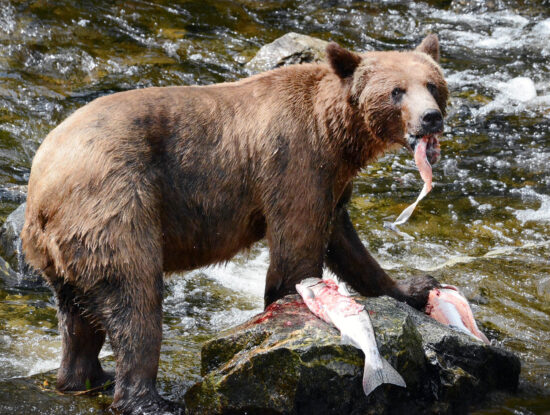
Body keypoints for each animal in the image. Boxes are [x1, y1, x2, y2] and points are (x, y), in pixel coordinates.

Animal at [22, 35, 448, 412]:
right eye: (396, 91)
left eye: (432, 84)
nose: (431, 117)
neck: (337, 134)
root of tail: (39, 188)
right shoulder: (295, 162)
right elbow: (296, 252)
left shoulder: (333, 182)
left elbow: (346, 244)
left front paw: (415, 286)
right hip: (113, 203)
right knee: (135, 298)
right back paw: (148, 399)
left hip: (66, 248)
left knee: (78, 317)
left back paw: (85, 377)